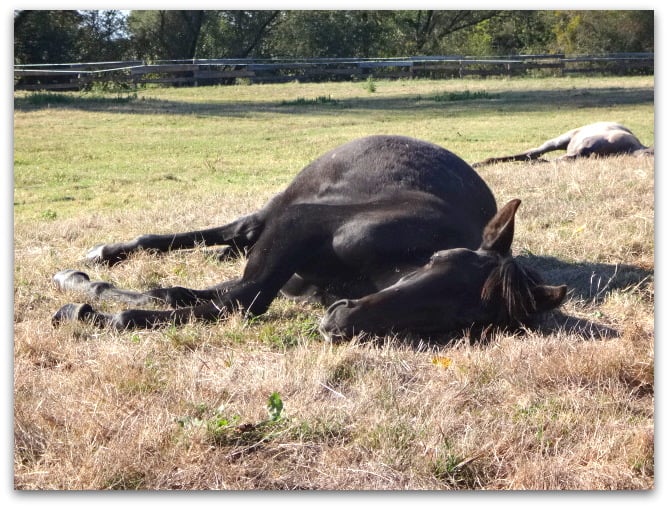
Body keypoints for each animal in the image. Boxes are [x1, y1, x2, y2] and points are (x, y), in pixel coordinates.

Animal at [52, 135, 567, 340]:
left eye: (459, 320)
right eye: (440, 261)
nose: (338, 322)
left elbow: (191, 295)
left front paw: (96, 303)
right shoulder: (300, 224)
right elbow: (244, 298)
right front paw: (92, 305)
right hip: (278, 209)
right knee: (234, 231)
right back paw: (105, 254)